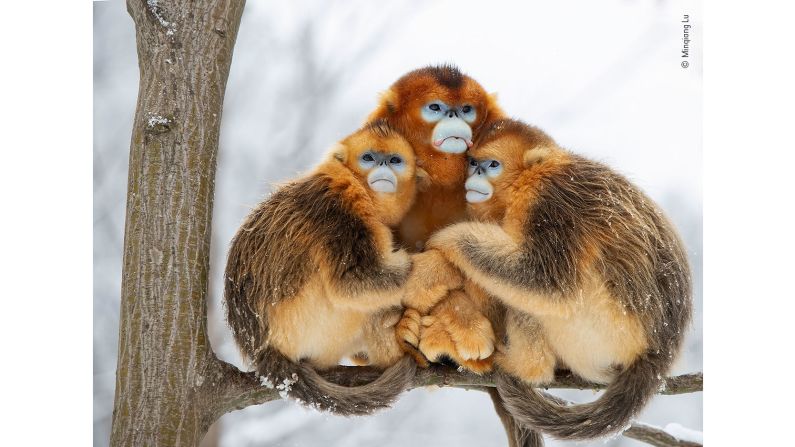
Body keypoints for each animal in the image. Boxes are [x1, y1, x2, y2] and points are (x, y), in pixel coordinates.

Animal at [224, 121, 422, 416]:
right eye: (368, 158)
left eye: (395, 160)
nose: (383, 166)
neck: (357, 185)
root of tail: (262, 351)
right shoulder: (340, 213)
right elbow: (353, 283)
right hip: (311, 327)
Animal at [416, 118, 692, 440]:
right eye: (473, 163)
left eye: (492, 165)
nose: (475, 175)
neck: (530, 178)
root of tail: (659, 353)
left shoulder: (549, 200)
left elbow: (544, 281)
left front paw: (447, 239)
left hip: (603, 330)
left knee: (535, 299)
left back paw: (524, 367)